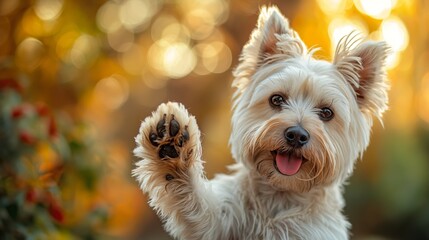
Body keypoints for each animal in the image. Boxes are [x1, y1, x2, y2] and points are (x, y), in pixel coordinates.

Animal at [133, 6, 388, 240]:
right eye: (277, 99)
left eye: (326, 112)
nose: (297, 135)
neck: (280, 195)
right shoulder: (219, 220)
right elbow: (196, 205)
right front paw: (170, 146)